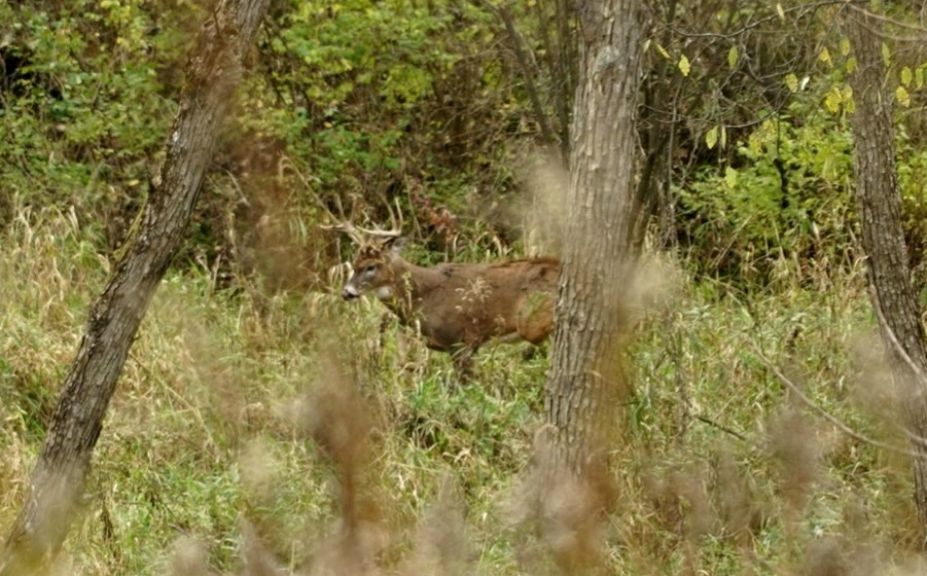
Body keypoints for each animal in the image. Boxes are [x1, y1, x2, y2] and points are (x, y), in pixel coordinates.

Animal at [326, 222, 560, 378]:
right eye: (354, 263)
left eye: (371, 266)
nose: (346, 292)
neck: (424, 297)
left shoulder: (463, 340)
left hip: (534, 322)